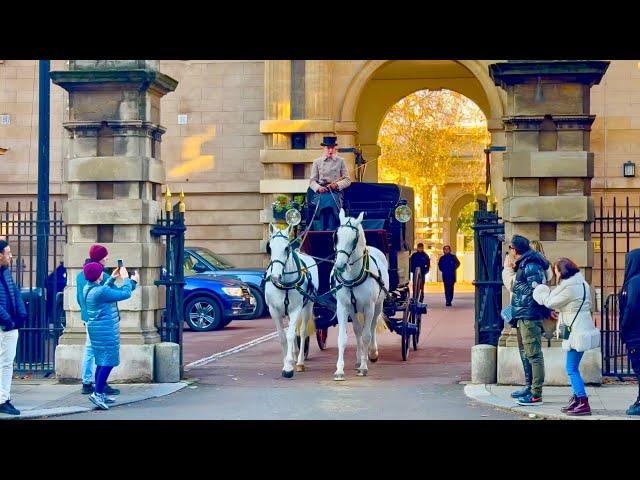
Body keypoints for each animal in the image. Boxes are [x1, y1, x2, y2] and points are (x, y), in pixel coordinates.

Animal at [264, 225, 318, 378]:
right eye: (269, 247)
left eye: (286, 248)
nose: (275, 276)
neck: (284, 284)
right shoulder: (274, 311)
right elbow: (283, 336)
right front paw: (286, 362)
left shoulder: (296, 309)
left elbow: (291, 334)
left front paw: (288, 368)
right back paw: (293, 355)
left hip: (307, 307)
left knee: (302, 331)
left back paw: (299, 361)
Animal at [330, 208, 390, 380]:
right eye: (336, 236)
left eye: (354, 239)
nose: (339, 266)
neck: (353, 276)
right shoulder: (343, 307)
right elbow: (343, 338)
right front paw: (339, 370)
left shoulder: (369, 307)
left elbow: (366, 335)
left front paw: (364, 366)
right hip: (353, 309)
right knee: (357, 329)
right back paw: (358, 359)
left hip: (378, 305)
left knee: (372, 326)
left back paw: (371, 353)